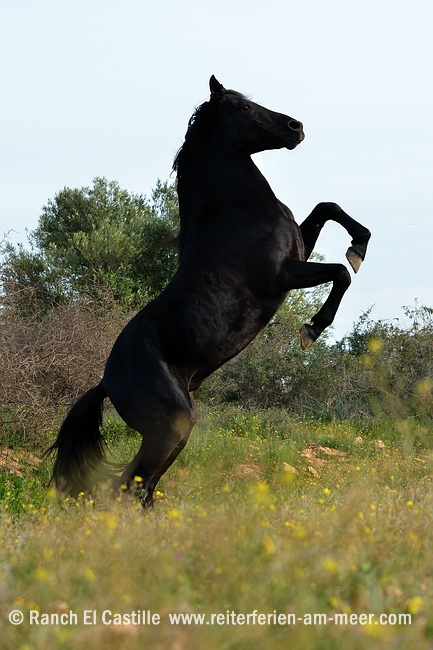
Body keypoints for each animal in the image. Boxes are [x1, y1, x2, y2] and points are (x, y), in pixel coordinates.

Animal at [49, 77, 370, 506]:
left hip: (175, 434)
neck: (234, 213)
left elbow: (327, 207)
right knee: (130, 485)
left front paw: (359, 245)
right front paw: (312, 329)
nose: (296, 127)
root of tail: (106, 382)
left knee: (142, 487)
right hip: (171, 428)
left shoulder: (299, 248)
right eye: (243, 108)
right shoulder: (282, 275)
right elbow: (341, 273)